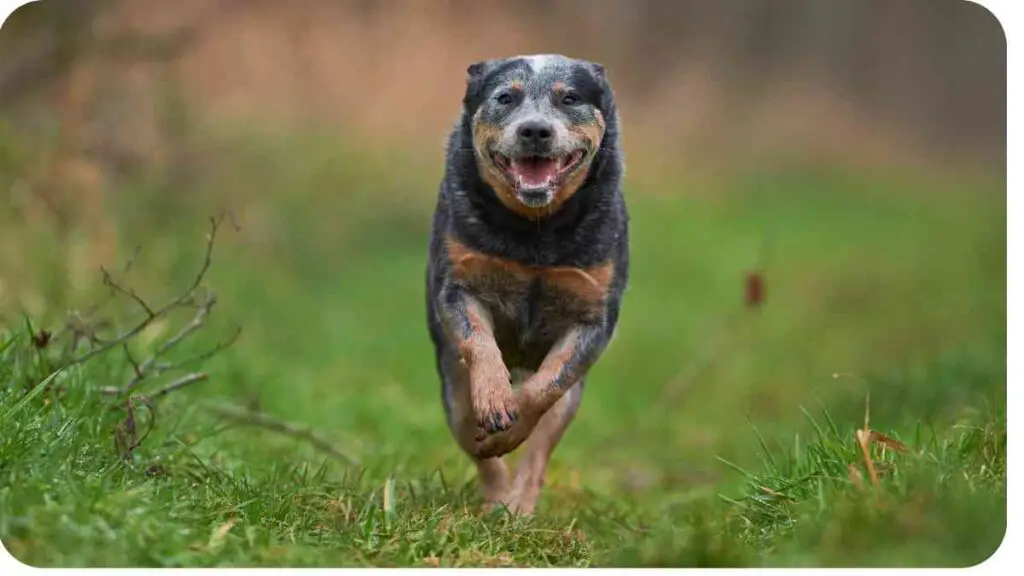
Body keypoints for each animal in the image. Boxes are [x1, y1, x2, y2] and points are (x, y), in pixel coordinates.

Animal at [421, 52, 622, 510]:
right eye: (505, 97)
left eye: (569, 98)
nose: (534, 129)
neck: (534, 233)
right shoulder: (458, 286)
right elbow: (478, 341)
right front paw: (496, 401)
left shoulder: (593, 318)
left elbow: (547, 386)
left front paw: (511, 426)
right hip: (451, 381)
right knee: (469, 433)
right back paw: (495, 498)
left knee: (541, 447)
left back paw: (519, 507)